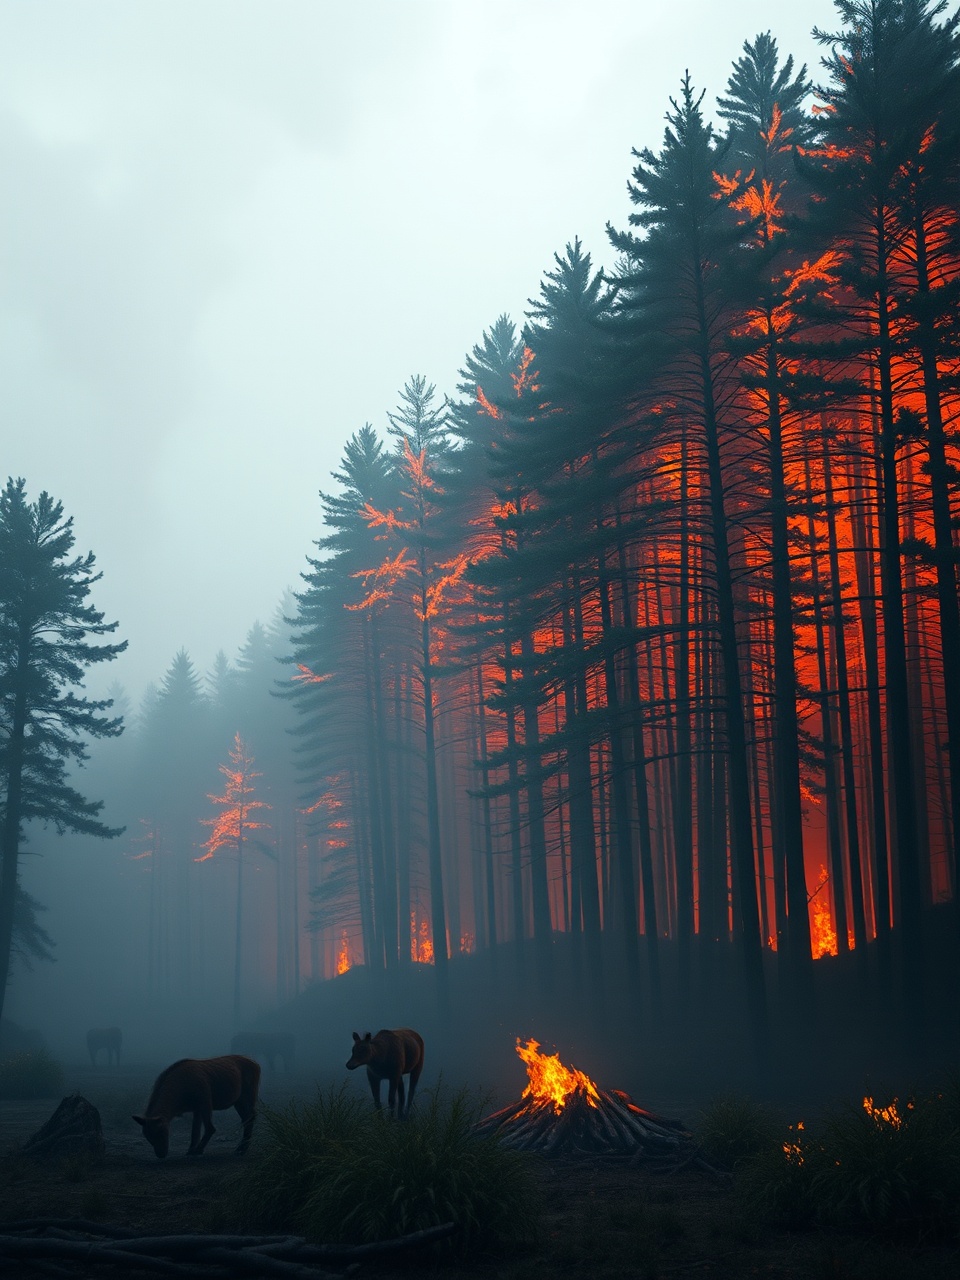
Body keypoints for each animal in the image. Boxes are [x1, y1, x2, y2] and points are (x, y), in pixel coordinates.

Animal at [131, 1049, 261, 1162]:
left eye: (161, 1131)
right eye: (147, 1136)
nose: (161, 1154)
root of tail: (257, 1064)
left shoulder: (205, 1103)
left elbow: (209, 1128)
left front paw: (198, 1150)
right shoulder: (196, 1108)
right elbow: (195, 1131)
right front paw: (190, 1150)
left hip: (249, 1095)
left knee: (250, 1117)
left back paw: (242, 1149)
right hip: (238, 1101)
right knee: (247, 1118)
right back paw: (241, 1148)